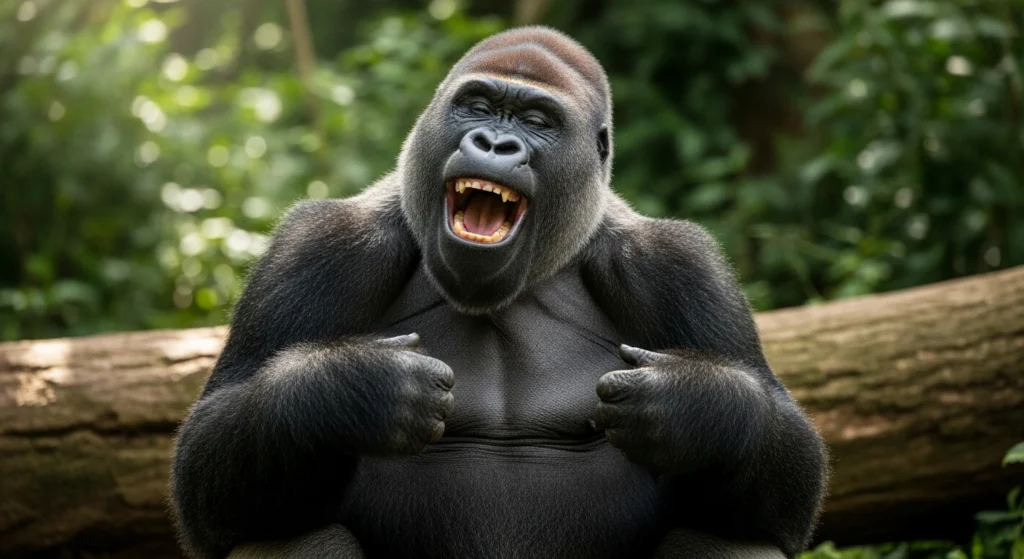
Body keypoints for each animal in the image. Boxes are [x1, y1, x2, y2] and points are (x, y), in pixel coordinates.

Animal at [170, 26, 827, 559]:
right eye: (478, 107)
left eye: (536, 122)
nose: (492, 144)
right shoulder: (319, 246)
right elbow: (208, 473)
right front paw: (347, 391)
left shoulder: (679, 267)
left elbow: (786, 485)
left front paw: (693, 405)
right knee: (290, 536)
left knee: (732, 538)